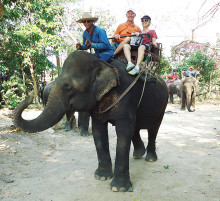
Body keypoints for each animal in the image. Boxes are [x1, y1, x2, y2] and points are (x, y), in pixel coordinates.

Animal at [12, 50, 168, 192]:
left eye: (68, 86)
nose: (30, 95)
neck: (100, 61)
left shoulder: (126, 96)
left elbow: (123, 132)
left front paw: (118, 188)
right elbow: (99, 131)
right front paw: (101, 177)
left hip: (162, 105)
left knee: (153, 129)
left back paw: (150, 158)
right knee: (135, 128)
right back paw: (138, 154)